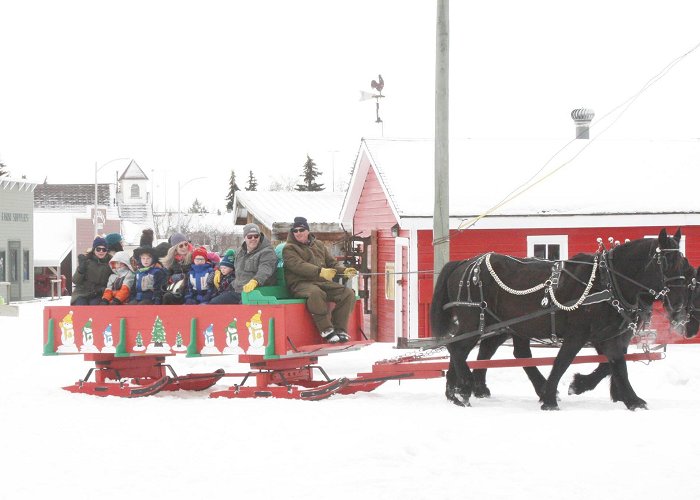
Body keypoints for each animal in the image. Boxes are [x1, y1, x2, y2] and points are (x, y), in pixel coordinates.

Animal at [430, 229, 688, 410]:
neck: (606, 281)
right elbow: (563, 362)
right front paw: (551, 399)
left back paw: (456, 391)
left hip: (503, 325)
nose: (679, 303)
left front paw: (632, 400)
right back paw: (462, 388)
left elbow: (617, 365)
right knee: (457, 348)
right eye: (667, 263)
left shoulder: (609, 338)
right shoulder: (578, 334)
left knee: (481, 351)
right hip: (475, 321)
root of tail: (464, 263)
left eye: (683, 262)